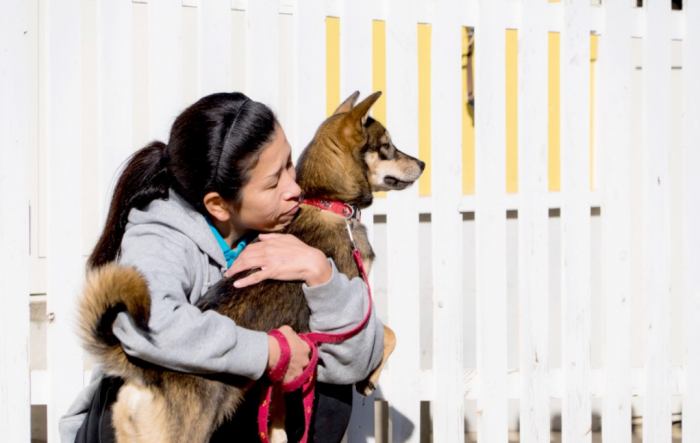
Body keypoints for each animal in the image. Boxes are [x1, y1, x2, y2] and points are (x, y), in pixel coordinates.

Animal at [78, 91, 424, 443]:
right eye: (387, 147)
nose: (422, 164)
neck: (324, 200)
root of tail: (147, 374)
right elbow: (389, 332)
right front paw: (369, 378)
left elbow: (277, 415)